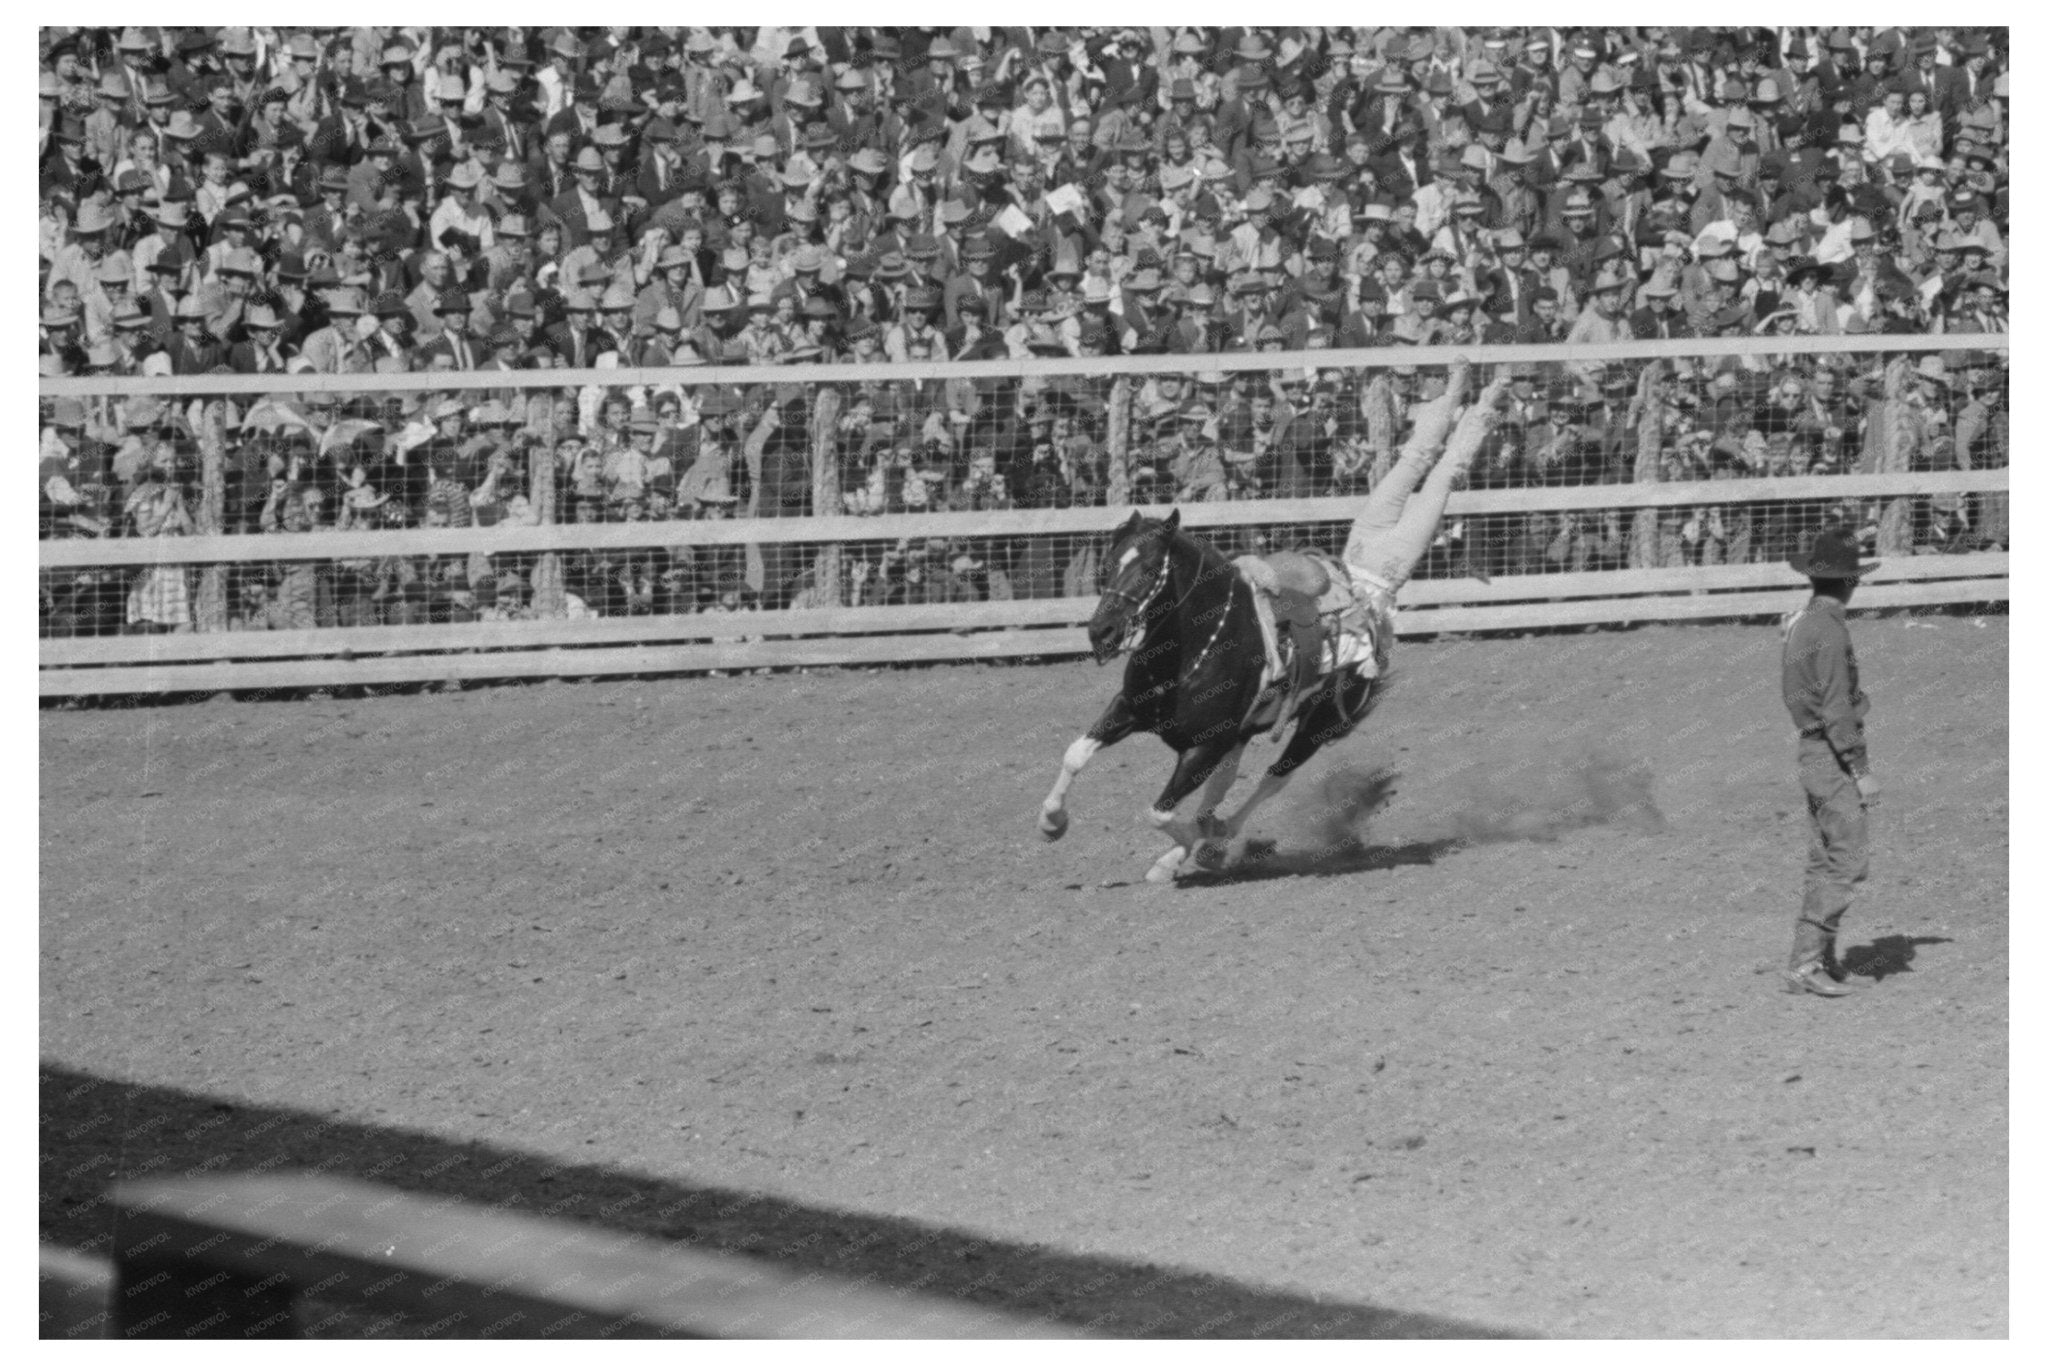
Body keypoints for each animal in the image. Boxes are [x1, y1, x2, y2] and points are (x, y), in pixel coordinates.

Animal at [1032, 511, 1384, 888]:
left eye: (1151, 570)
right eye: (1108, 564)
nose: (1101, 632)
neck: (1194, 648)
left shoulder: (1204, 746)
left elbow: (1158, 813)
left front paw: (1182, 852)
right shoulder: (1128, 708)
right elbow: (1075, 754)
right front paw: (1052, 822)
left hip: (1316, 727)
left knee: (1274, 779)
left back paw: (1214, 843)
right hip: (1241, 735)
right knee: (1222, 786)